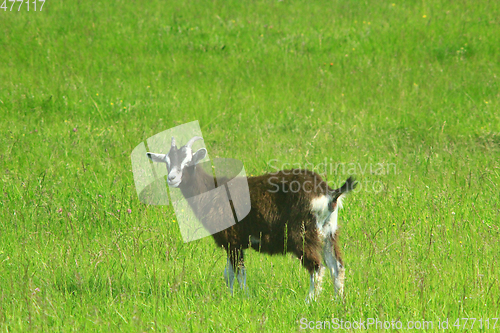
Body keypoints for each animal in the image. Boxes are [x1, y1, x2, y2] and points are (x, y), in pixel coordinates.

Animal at [146, 136, 358, 300]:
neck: (211, 190)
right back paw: (338, 301)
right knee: (337, 266)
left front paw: (243, 298)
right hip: (328, 232)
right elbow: (228, 274)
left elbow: (239, 273)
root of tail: (329, 192)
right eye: (167, 162)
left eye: (188, 162)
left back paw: (309, 302)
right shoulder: (234, 243)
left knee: (316, 266)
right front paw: (231, 298)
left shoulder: (232, 239)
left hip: (303, 234)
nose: (172, 179)